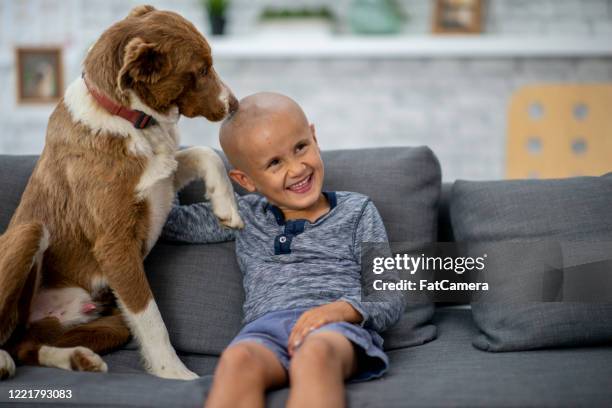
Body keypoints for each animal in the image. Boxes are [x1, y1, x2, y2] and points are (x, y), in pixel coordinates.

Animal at [0, 4, 243, 380]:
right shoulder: (115, 244)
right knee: (9, 340)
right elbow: (151, 317)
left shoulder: (161, 179)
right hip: (29, 232)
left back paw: (77, 359)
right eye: (201, 70)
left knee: (25, 345)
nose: (234, 105)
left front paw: (226, 207)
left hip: (105, 324)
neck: (132, 117)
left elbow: (205, 152)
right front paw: (175, 374)